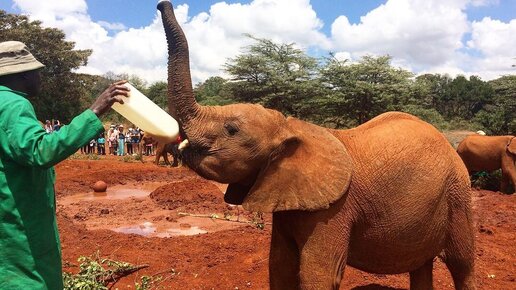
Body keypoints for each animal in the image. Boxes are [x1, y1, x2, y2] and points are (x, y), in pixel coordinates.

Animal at [156, 1, 476, 288]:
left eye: (231, 129)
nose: (162, 4)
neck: (290, 126)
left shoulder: (334, 208)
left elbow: (318, 275)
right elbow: (280, 267)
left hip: (458, 194)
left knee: (462, 263)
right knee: (421, 263)